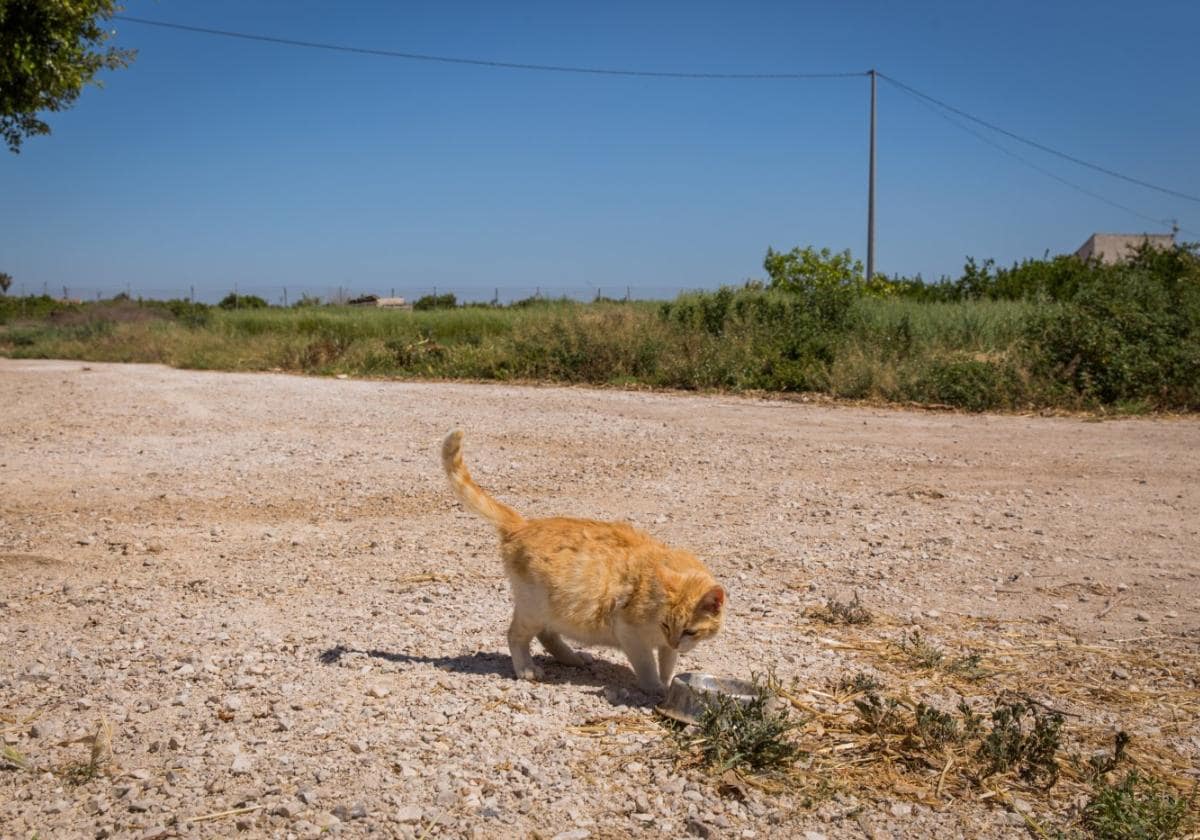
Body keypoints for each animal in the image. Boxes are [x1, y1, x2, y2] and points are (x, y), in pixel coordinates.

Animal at [439, 429, 720, 691]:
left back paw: (571, 658)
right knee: (516, 635)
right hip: (534, 608)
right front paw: (656, 689)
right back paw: (526, 669)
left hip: (551, 608)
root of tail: (524, 524)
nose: (674, 640)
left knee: (547, 634)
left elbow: (668, 662)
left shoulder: (665, 646)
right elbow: (647, 666)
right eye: (666, 625)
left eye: (690, 631)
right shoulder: (631, 635)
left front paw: (668, 681)